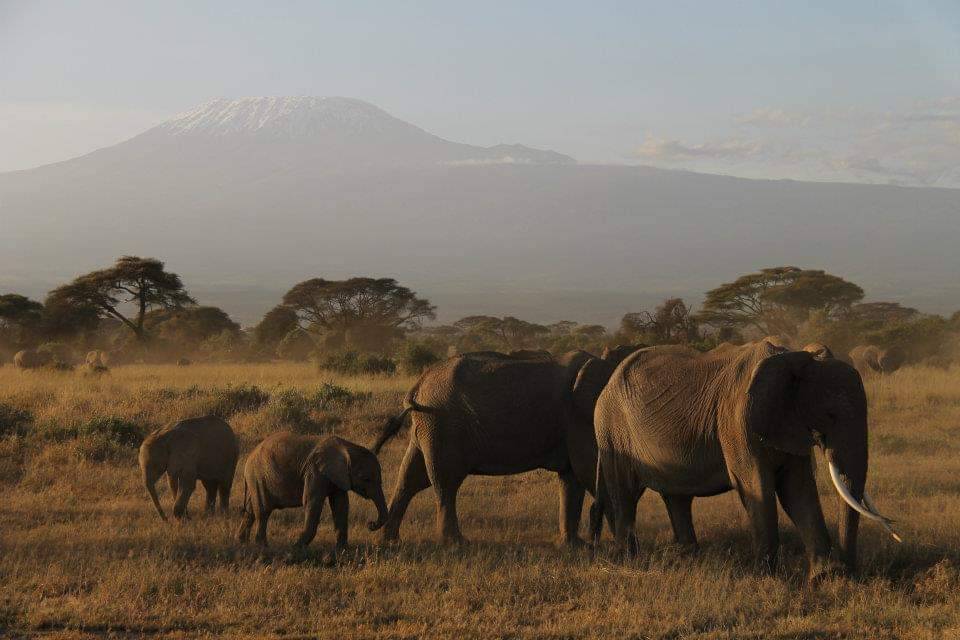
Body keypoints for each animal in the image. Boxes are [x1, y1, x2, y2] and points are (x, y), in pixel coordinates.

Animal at [238, 436, 388, 552]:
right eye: (366, 479)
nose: (370, 524)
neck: (346, 447)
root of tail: (248, 458)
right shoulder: (315, 472)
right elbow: (312, 502)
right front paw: (295, 548)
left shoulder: (337, 477)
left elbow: (340, 505)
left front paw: (342, 551)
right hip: (259, 477)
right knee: (263, 511)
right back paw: (262, 547)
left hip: (255, 479)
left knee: (250, 511)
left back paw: (243, 543)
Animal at [376, 348, 636, 548]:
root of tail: (418, 385)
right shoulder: (579, 418)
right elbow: (588, 470)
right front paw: (623, 547)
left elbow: (572, 476)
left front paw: (573, 546)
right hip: (443, 424)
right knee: (445, 482)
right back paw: (456, 544)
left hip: (429, 426)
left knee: (411, 478)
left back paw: (389, 540)